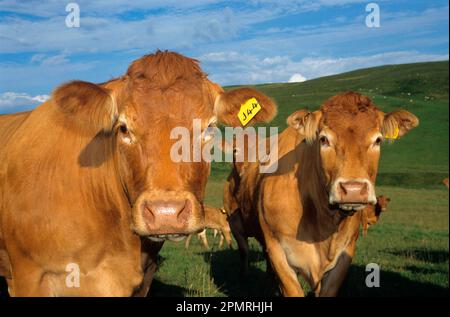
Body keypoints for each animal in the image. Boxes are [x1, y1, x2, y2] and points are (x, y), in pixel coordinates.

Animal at [232, 92, 418, 296]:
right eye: (323, 139)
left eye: (378, 140)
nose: (353, 190)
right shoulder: (277, 251)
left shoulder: (344, 254)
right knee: (244, 251)